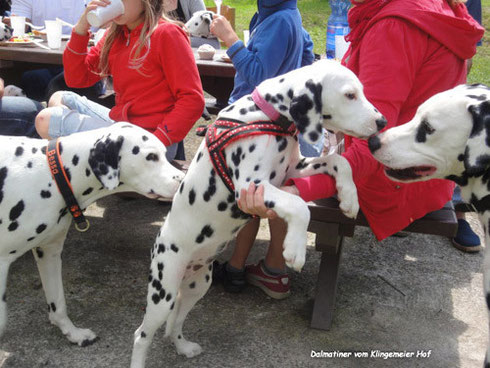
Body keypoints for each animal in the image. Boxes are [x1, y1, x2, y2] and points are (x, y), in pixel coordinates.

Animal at [0, 123, 184, 348]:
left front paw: (72, 333)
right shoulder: (1, 262)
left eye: (165, 154)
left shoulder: (49, 252)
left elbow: (58, 302)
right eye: (151, 156)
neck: (52, 175)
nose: (183, 181)